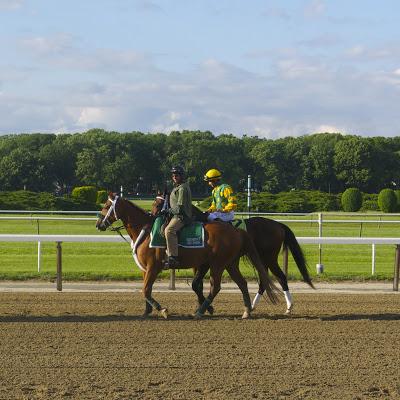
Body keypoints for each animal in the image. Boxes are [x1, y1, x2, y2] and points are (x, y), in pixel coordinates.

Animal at [95, 194, 280, 318]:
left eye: (106, 205)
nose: (98, 224)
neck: (145, 230)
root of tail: (237, 230)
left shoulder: (154, 267)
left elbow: (146, 290)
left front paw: (163, 310)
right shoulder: (145, 269)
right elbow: (146, 290)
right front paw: (146, 312)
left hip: (218, 264)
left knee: (216, 287)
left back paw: (201, 311)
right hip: (230, 263)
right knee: (242, 283)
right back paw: (247, 311)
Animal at [152, 195, 314, 314]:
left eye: (159, 205)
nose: (151, 215)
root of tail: (278, 225)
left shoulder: (205, 262)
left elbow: (197, 284)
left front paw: (205, 307)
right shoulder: (199, 262)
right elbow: (197, 284)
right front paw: (203, 307)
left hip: (269, 258)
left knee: (281, 277)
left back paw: (288, 307)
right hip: (262, 258)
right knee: (264, 280)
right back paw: (252, 306)